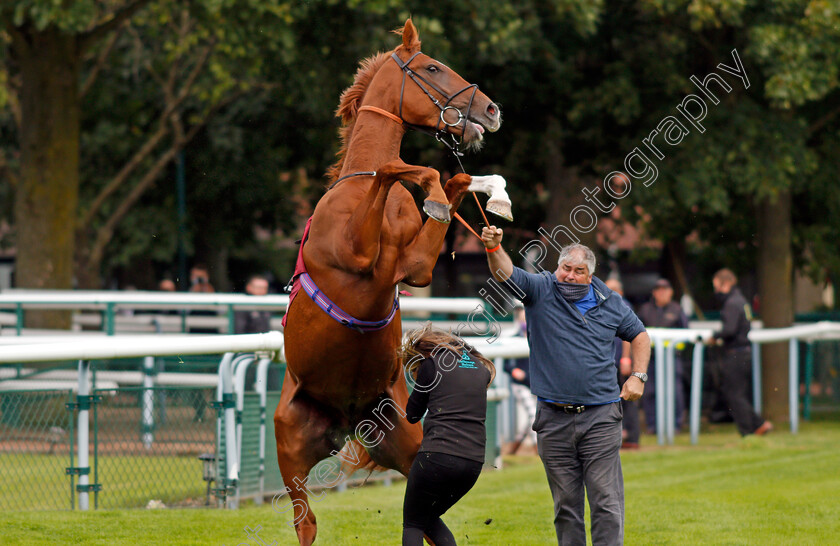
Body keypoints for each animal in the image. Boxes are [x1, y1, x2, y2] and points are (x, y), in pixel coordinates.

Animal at [278, 19, 508, 540]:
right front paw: (436, 190)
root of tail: (347, 419)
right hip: (291, 457)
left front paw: (493, 194)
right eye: (432, 67)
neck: (359, 188)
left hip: (405, 442)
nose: (491, 109)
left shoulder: (415, 267)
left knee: (425, 517)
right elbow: (400, 167)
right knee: (306, 524)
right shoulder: (357, 254)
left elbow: (451, 182)